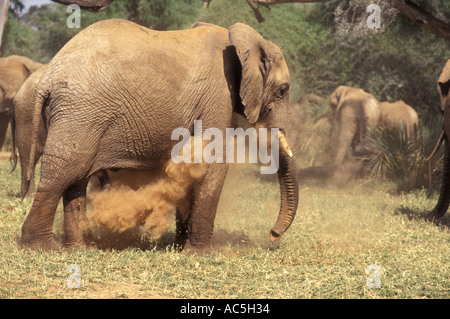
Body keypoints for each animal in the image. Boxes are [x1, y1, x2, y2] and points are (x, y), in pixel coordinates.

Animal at [19, 19, 298, 255]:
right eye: (283, 90)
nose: (273, 235)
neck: (240, 40)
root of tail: (48, 76)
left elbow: (191, 163)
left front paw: (180, 247)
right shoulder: (218, 92)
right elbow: (212, 163)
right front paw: (200, 253)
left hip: (80, 117)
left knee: (77, 178)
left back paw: (81, 248)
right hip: (81, 113)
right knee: (62, 173)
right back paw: (43, 247)